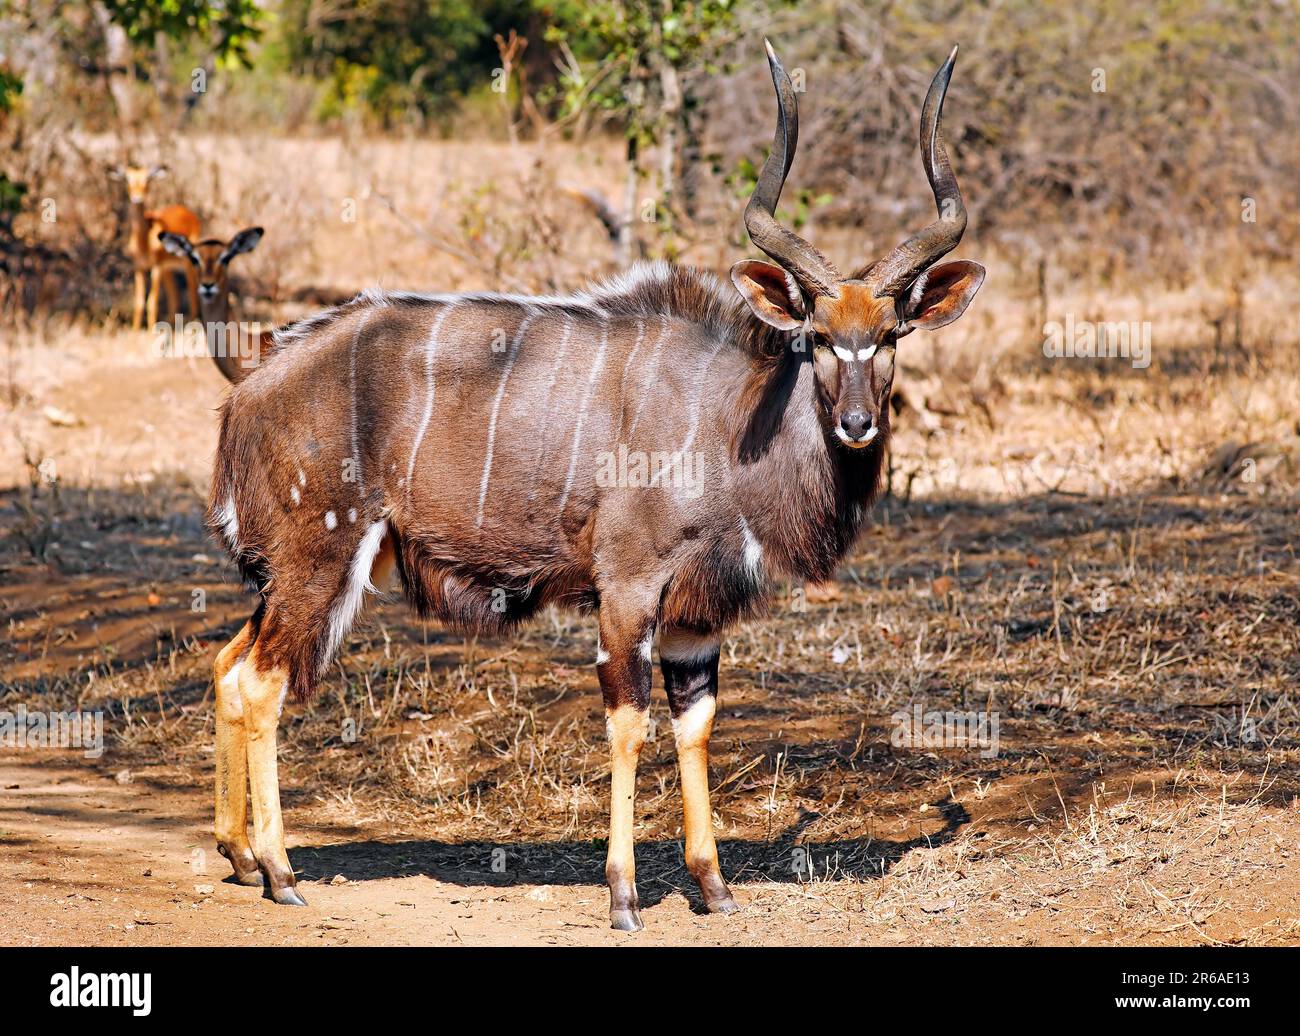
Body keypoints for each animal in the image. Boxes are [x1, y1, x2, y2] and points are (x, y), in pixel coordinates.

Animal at [111, 165, 200, 328]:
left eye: (147, 180)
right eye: (127, 179)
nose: (137, 198)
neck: (144, 240)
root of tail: (187, 211)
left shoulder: (156, 267)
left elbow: (152, 303)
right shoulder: (139, 267)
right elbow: (139, 303)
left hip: (186, 264)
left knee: (192, 291)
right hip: (168, 268)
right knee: (175, 295)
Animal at [210, 42, 982, 930]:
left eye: (889, 335)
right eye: (817, 337)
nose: (857, 423)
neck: (727, 418)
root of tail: (252, 384)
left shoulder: (695, 617)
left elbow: (695, 726)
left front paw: (714, 886)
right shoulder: (628, 586)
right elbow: (627, 722)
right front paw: (623, 896)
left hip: (291, 573)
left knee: (229, 664)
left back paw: (239, 857)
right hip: (318, 559)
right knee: (261, 683)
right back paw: (279, 872)